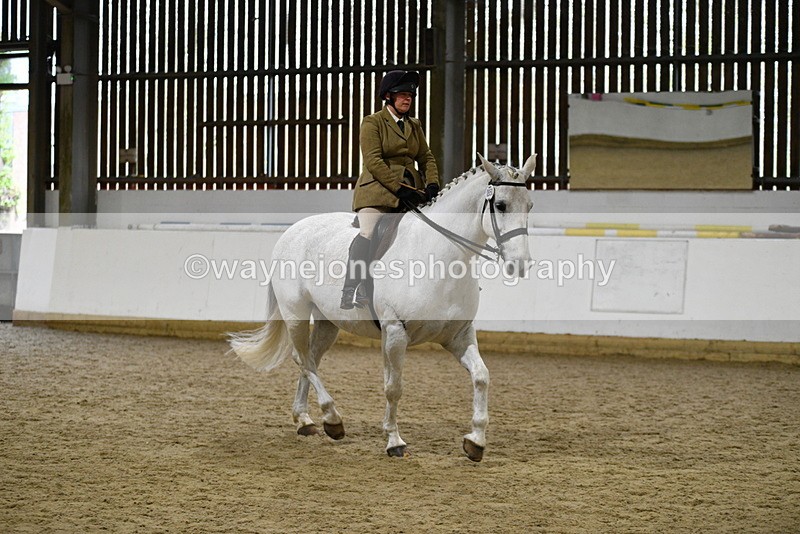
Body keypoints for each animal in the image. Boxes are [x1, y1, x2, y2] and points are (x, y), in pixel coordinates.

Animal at [229, 154, 536, 461]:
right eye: (501, 205)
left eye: (529, 206)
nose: (520, 264)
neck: (439, 257)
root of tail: (292, 230)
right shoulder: (396, 332)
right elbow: (394, 387)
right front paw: (394, 441)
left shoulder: (457, 335)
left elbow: (481, 377)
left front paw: (476, 441)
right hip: (296, 314)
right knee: (302, 359)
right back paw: (332, 419)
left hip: (328, 322)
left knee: (310, 359)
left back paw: (306, 421)